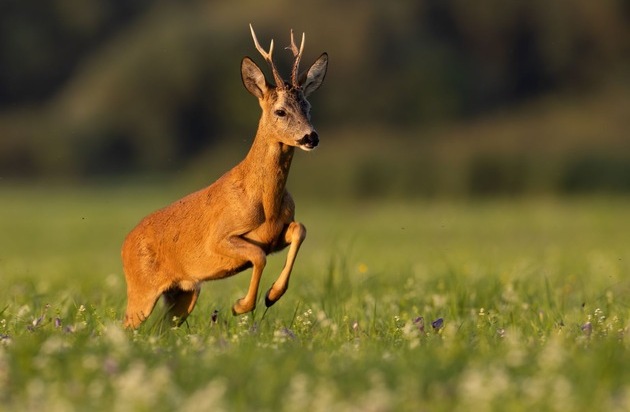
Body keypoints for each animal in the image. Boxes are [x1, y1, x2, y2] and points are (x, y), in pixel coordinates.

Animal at [122, 25, 330, 328]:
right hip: (142, 290)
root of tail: (125, 245)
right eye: (280, 110)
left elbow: (299, 229)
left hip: (184, 292)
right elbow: (257, 256)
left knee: (162, 328)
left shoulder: (276, 235)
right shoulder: (219, 238)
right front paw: (241, 305)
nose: (310, 137)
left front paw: (273, 294)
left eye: (308, 107)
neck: (266, 202)